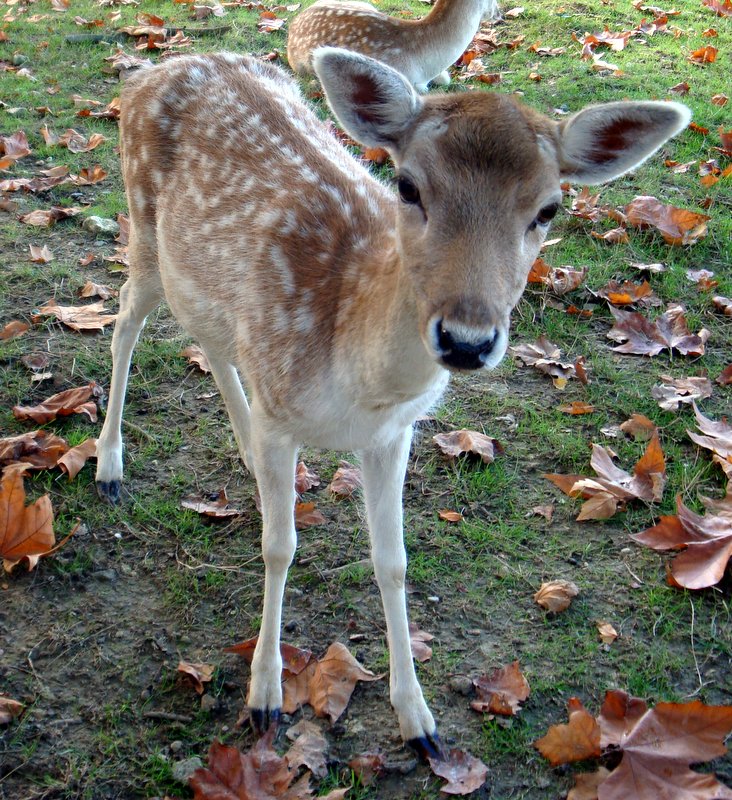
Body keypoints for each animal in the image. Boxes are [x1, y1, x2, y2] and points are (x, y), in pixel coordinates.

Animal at [94, 47, 688, 760]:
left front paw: (419, 720)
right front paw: (264, 696)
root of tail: (146, 71)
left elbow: (393, 562)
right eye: (407, 186)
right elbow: (279, 545)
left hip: (201, 279)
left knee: (207, 338)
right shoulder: (281, 413)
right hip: (143, 231)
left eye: (548, 209)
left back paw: (237, 450)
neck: (355, 384)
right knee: (124, 320)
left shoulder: (393, 434)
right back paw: (108, 465)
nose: (466, 339)